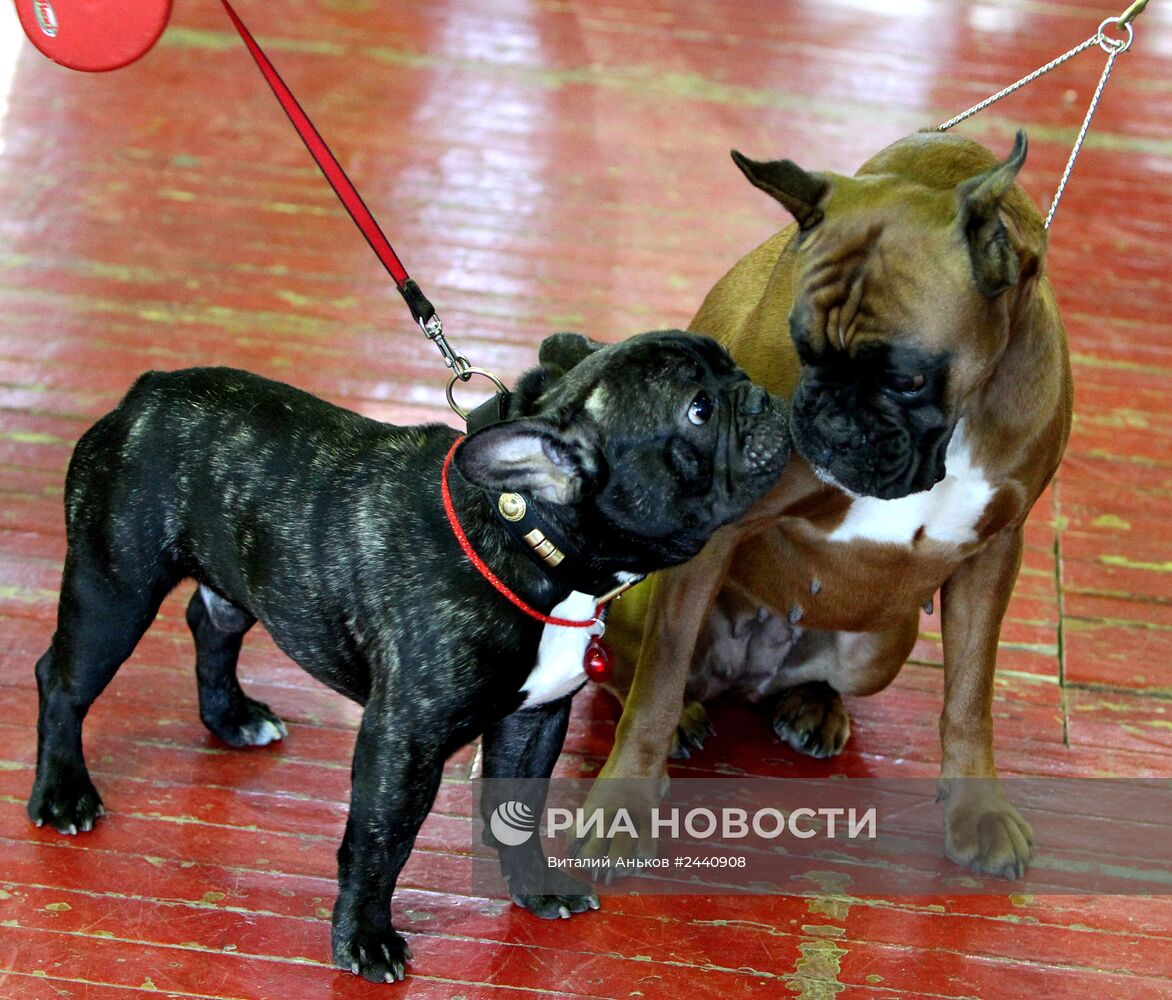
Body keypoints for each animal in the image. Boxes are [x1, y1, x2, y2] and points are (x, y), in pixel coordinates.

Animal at [576, 128, 1073, 876]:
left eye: (905, 378)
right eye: (802, 348)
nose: (827, 416)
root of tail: (747, 675)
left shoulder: (994, 554)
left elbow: (970, 695)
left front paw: (977, 810)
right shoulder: (712, 534)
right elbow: (656, 688)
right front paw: (624, 804)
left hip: (887, 641)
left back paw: (812, 702)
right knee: (636, 672)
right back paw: (688, 715)